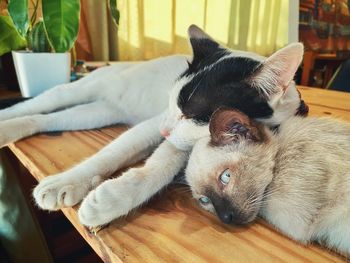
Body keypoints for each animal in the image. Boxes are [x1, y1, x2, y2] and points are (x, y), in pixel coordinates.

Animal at [0, 25, 306, 227]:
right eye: (171, 105)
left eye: (191, 115)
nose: (163, 131)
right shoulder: (154, 125)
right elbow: (115, 156)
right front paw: (72, 183)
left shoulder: (180, 139)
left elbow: (162, 165)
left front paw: (109, 199)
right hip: (78, 91)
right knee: (36, 105)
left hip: (97, 112)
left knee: (45, 119)